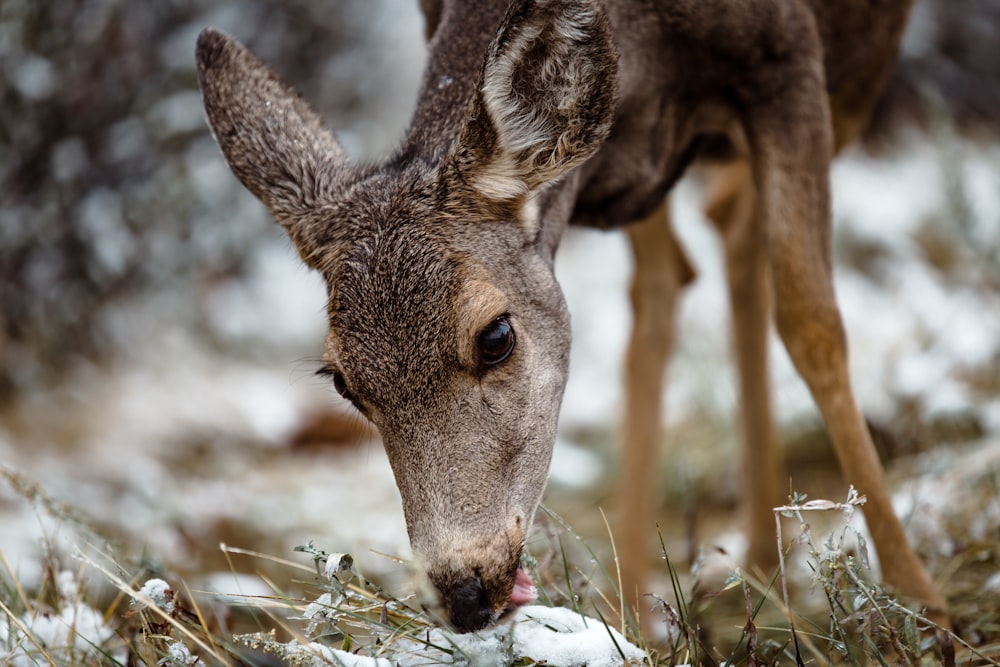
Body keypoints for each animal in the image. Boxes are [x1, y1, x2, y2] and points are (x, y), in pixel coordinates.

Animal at [197, 0, 944, 636]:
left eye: (495, 336)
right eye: (343, 382)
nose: (465, 594)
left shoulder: (786, 58)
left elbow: (812, 321)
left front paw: (923, 606)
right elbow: (655, 308)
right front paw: (630, 619)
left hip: (858, 76)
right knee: (708, 243)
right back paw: (756, 559)